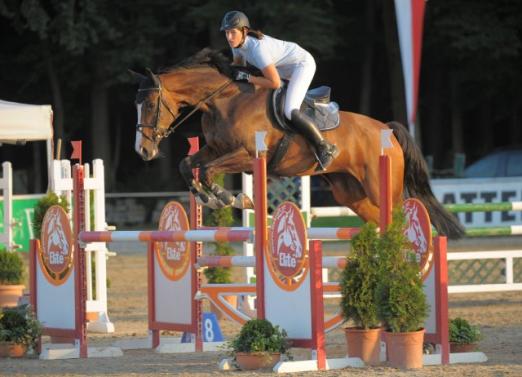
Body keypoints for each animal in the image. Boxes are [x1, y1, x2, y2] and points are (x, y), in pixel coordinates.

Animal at [130, 47, 464, 238]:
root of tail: (388, 131)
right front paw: (206, 196)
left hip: (381, 188)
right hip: (350, 193)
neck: (223, 101)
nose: (143, 151)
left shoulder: (248, 155)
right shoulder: (216, 149)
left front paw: (231, 198)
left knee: (401, 217)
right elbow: (187, 164)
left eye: (150, 104)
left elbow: (210, 170)